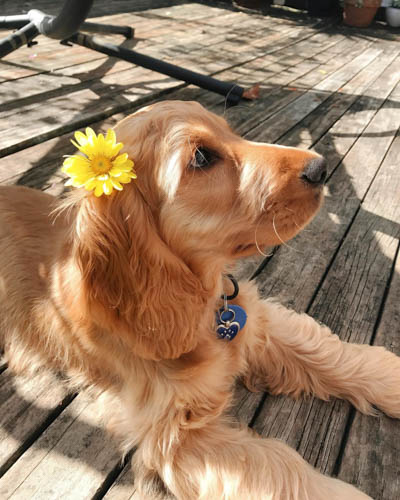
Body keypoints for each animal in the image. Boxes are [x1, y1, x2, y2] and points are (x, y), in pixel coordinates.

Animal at [1, 99, 398, 498]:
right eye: (202, 157)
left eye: (232, 132)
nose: (321, 167)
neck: (203, 304)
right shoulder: (173, 434)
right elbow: (280, 468)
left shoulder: (256, 322)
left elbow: (324, 352)